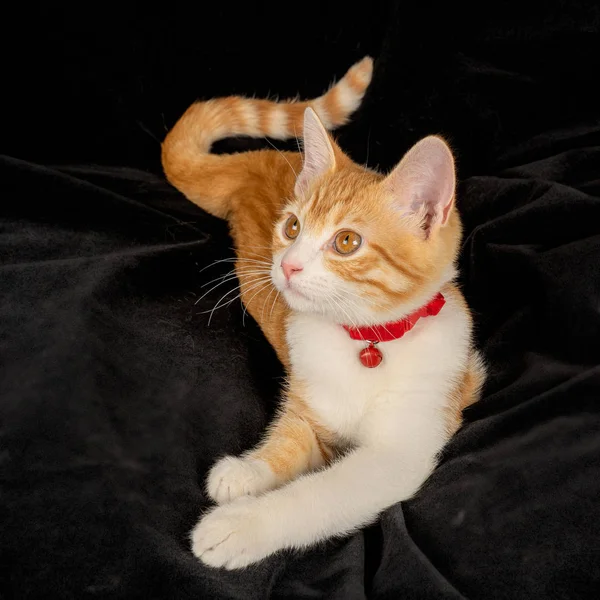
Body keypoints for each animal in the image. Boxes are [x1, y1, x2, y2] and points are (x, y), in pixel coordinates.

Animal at [162, 57, 486, 572]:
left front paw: (239, 525)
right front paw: (246, 472)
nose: (287, 265)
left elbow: (315, 496)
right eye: (292, 227)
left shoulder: (402, 448)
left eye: (347, 242)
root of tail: (264, 158)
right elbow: (290, 442)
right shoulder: (308, 402)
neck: (365, 341)